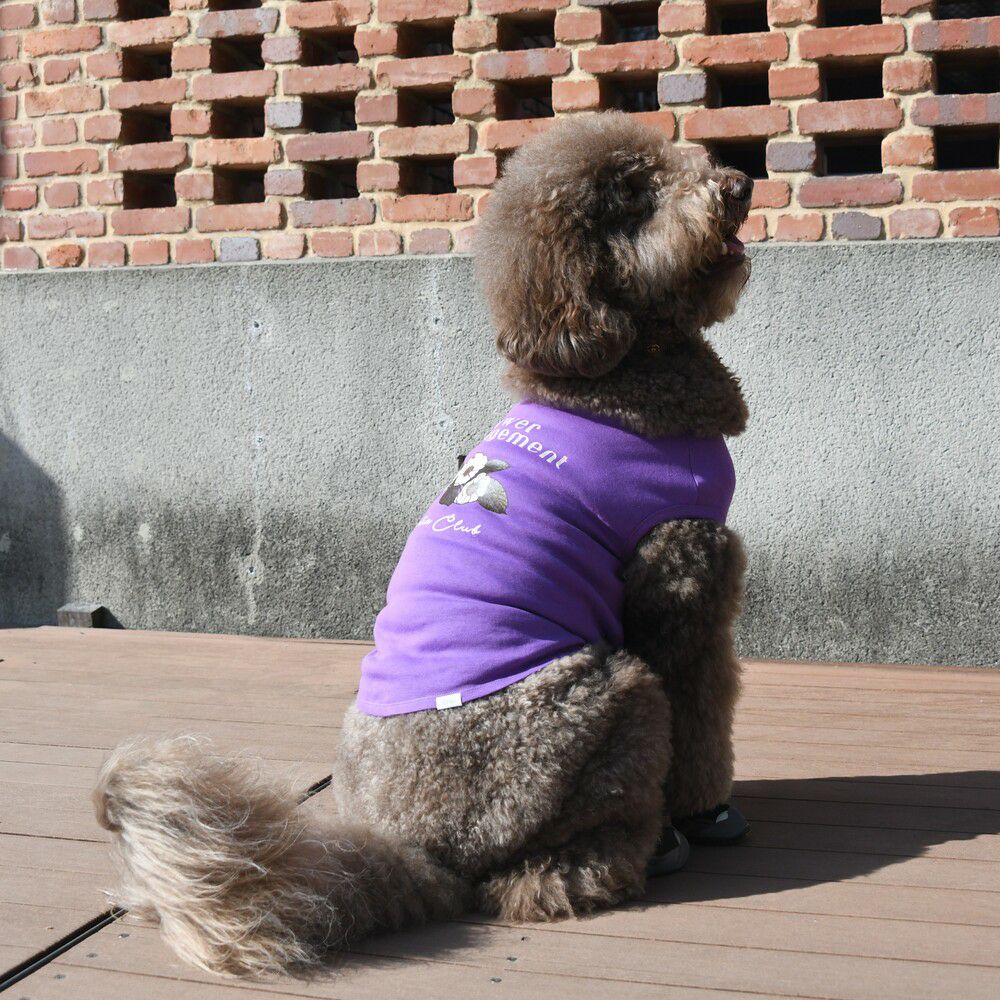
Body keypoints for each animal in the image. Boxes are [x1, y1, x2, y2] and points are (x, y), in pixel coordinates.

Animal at [94, 111, 753, 978]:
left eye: (669, 163)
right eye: (634, 198)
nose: (739, 184)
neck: (611, 376)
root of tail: (418, 848)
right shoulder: (682, 579)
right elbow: (704, 712)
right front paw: (710, 809)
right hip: (612, 695)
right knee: (542, 872)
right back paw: (626, 856)